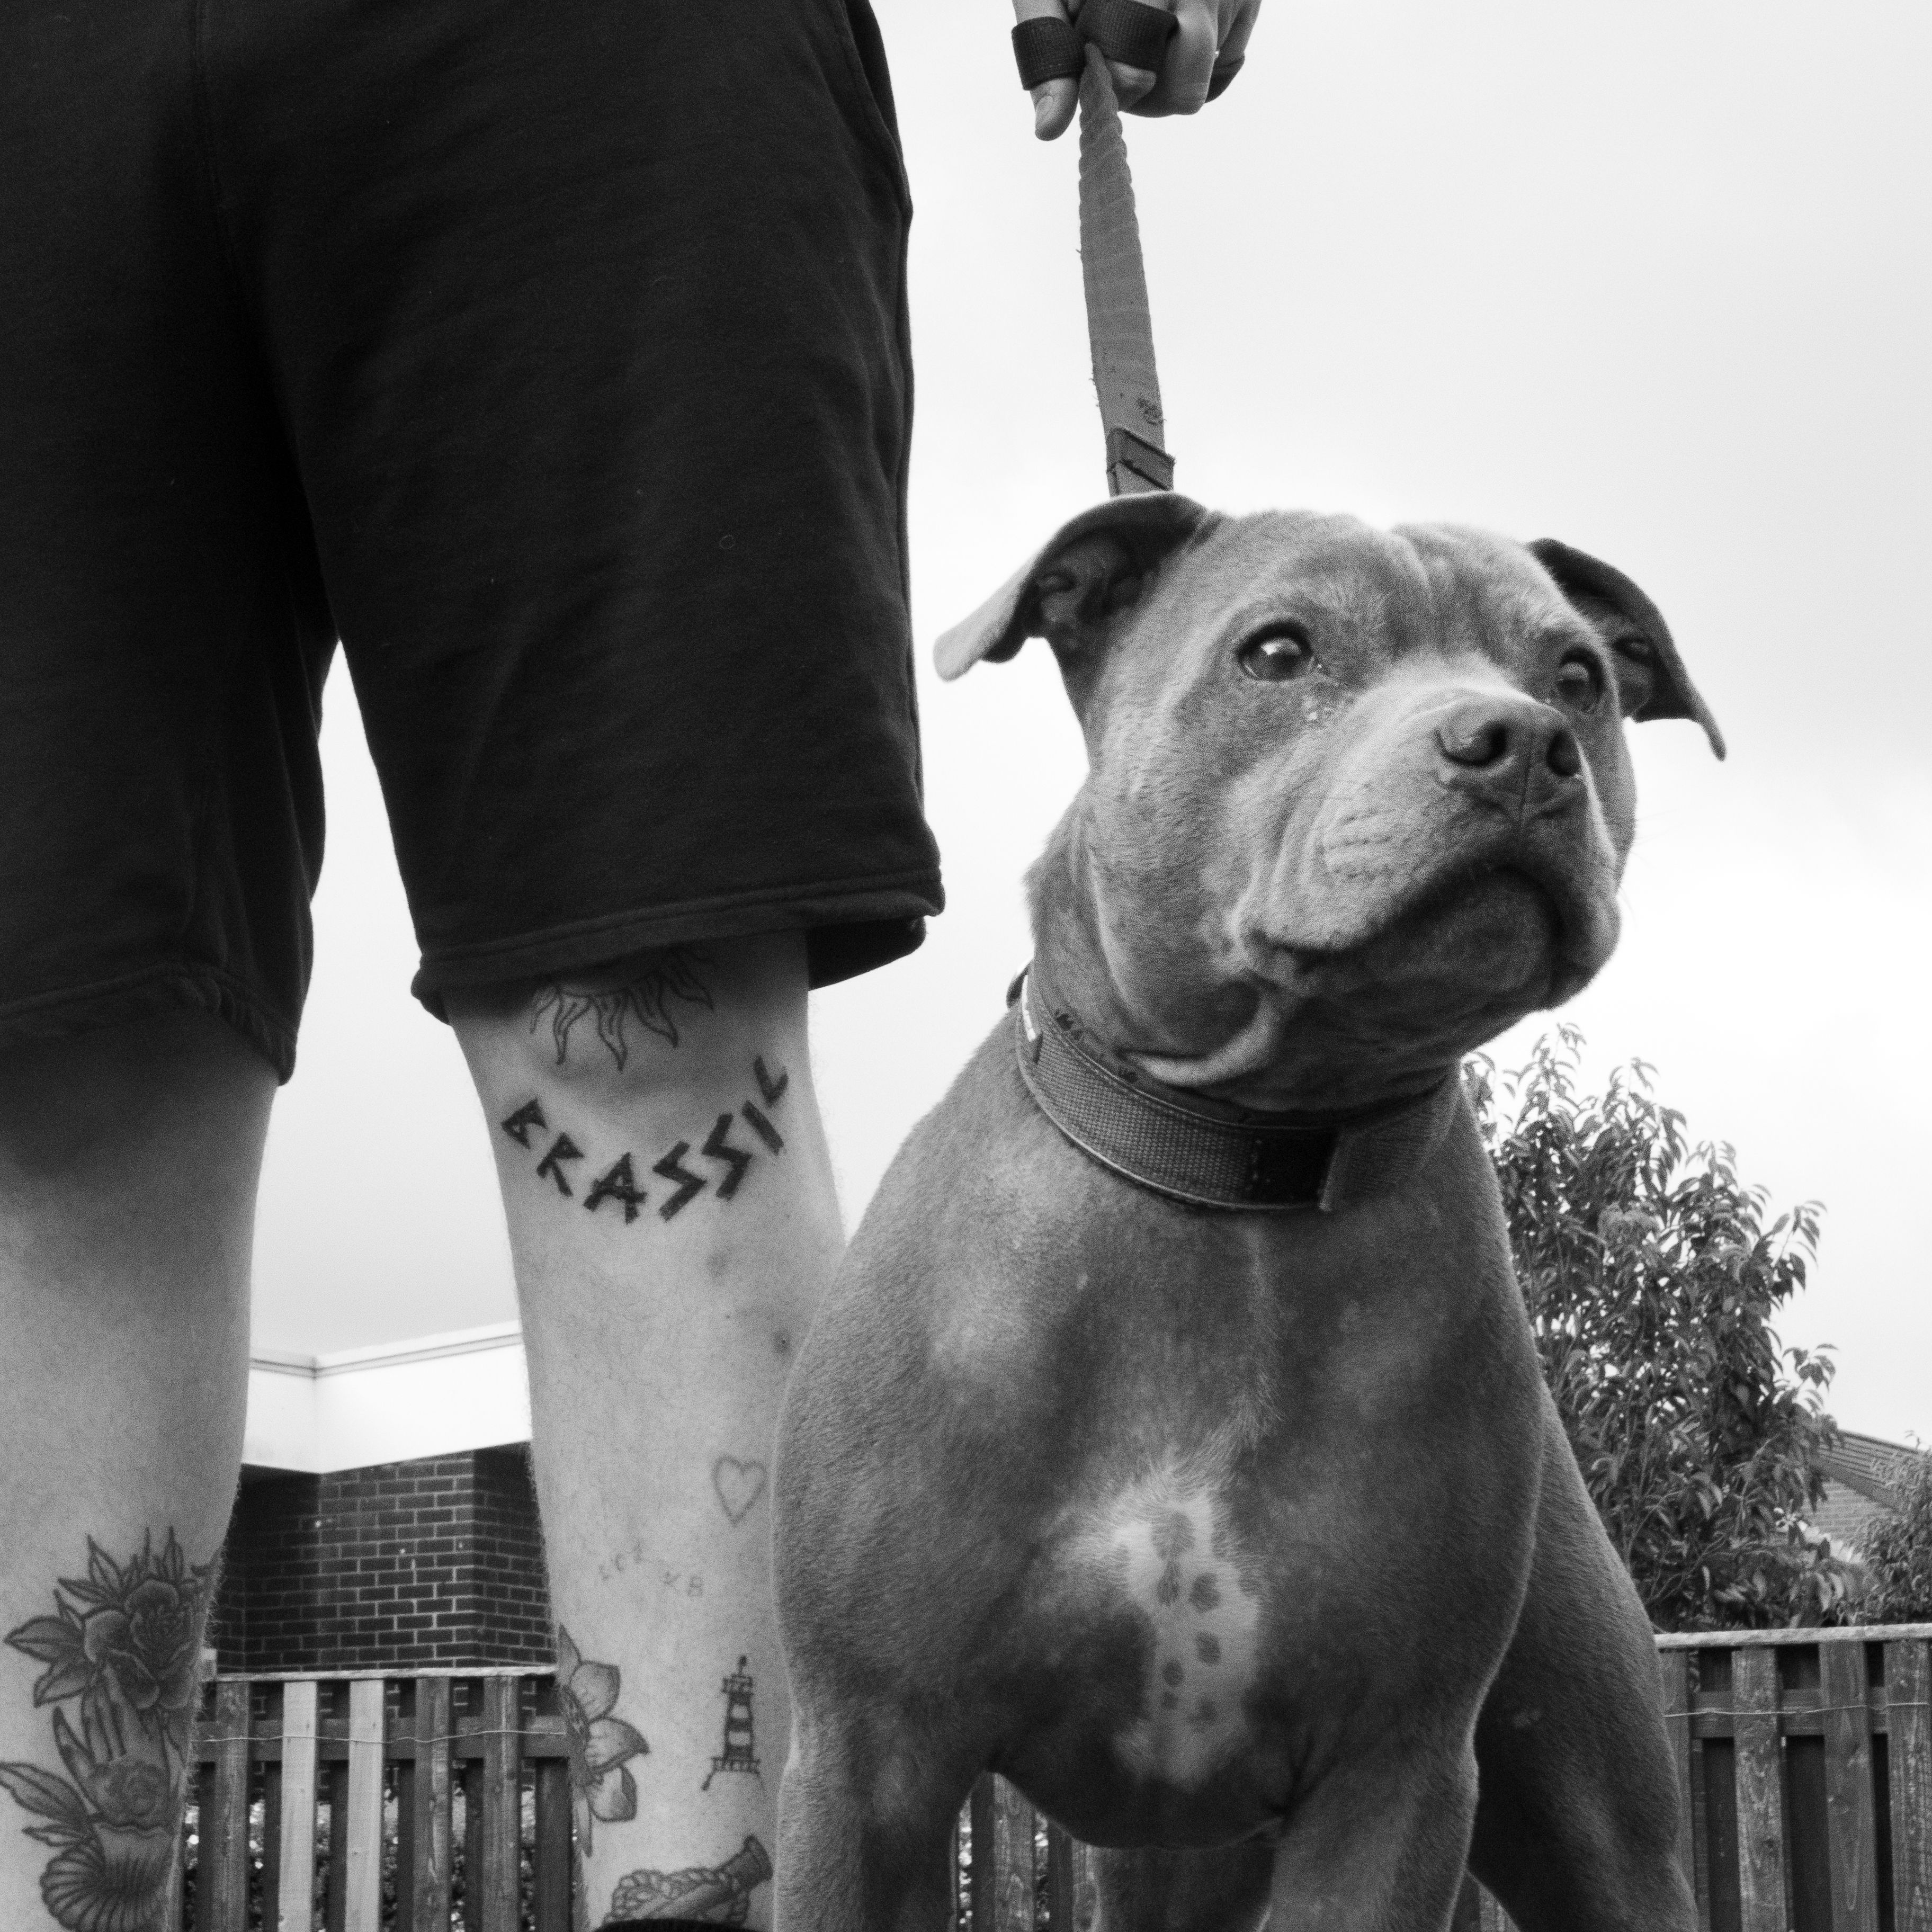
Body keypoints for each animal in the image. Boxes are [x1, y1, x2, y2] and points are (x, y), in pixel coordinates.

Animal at [773, 493, 1723, 1932]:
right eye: (1277, 653)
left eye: (1578, 678)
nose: (1520, 744)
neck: (1241, 1174)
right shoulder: (865, 1755)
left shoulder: (1392, 1776)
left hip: (1598, 1825)